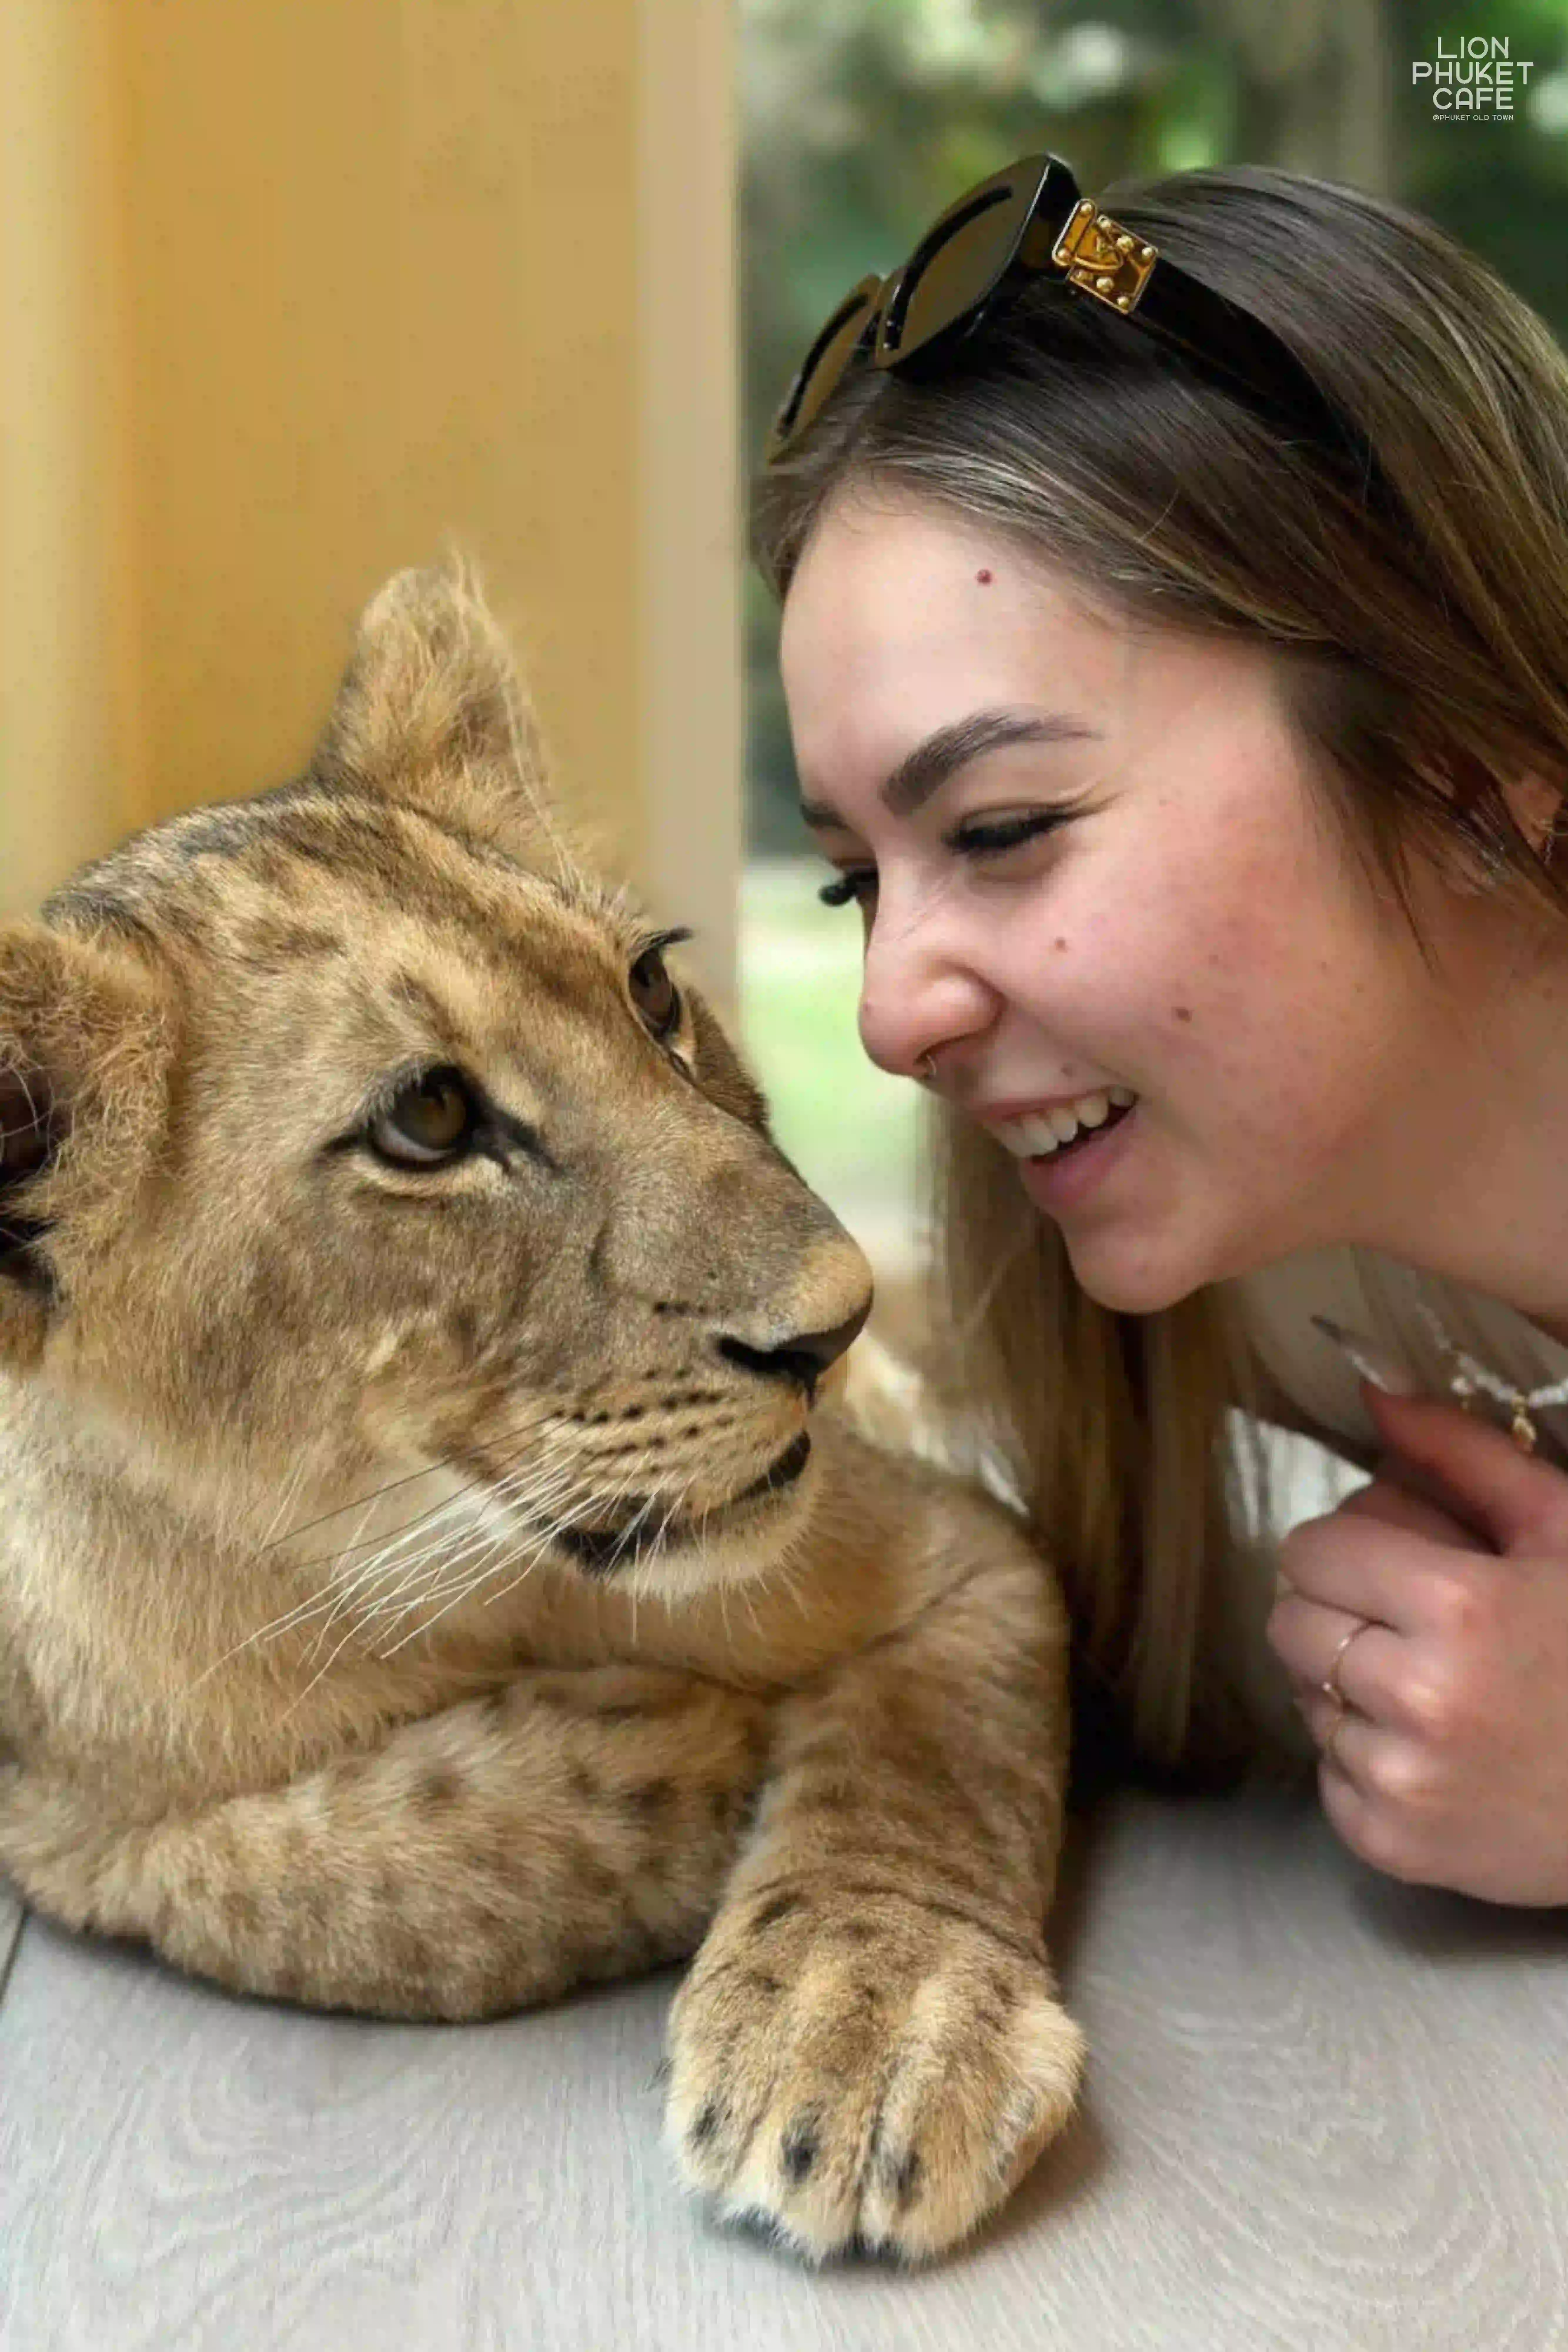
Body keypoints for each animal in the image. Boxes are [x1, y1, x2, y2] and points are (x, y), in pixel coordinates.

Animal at [0, 566, 1084, 2264]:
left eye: (648, 990)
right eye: (430, 1120)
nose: (834, 1323)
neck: (403, 1585)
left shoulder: (966, 1547)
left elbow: (919, 1763)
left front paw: (872, 2021)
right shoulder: (60, 1813)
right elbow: (300, 1882)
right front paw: (688, 1758)